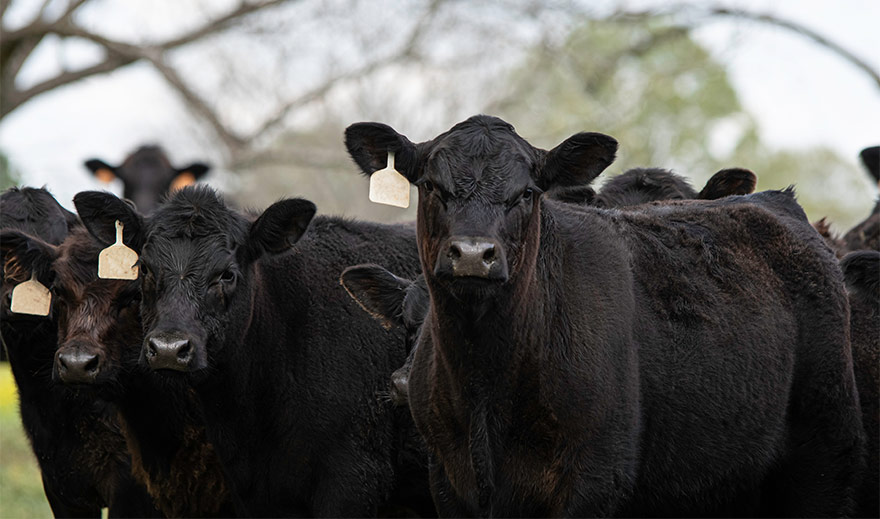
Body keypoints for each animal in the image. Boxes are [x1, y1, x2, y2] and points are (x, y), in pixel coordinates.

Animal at [345, 115, 864, 517]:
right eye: (431, 186)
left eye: (528, 192)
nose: (473, 254)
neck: (486, 385)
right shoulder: (448, 481)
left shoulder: (597, 477)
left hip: (826, 454)